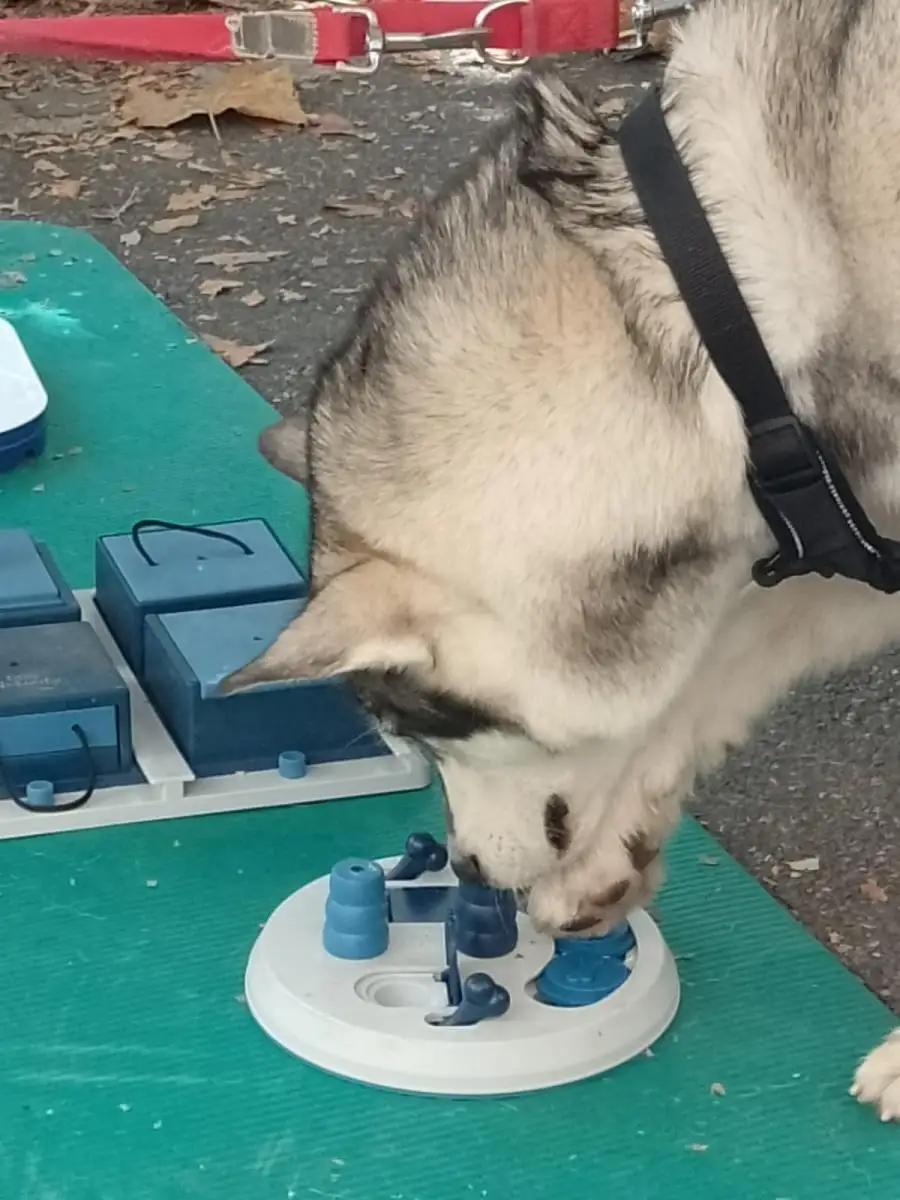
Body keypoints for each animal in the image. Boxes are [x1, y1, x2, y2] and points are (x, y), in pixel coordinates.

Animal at [223, 0, 900, 1120]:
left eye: (423, 726)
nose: (461, 870)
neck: (725, 292)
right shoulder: (834, 530)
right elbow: (698, 683)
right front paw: (607, 862)